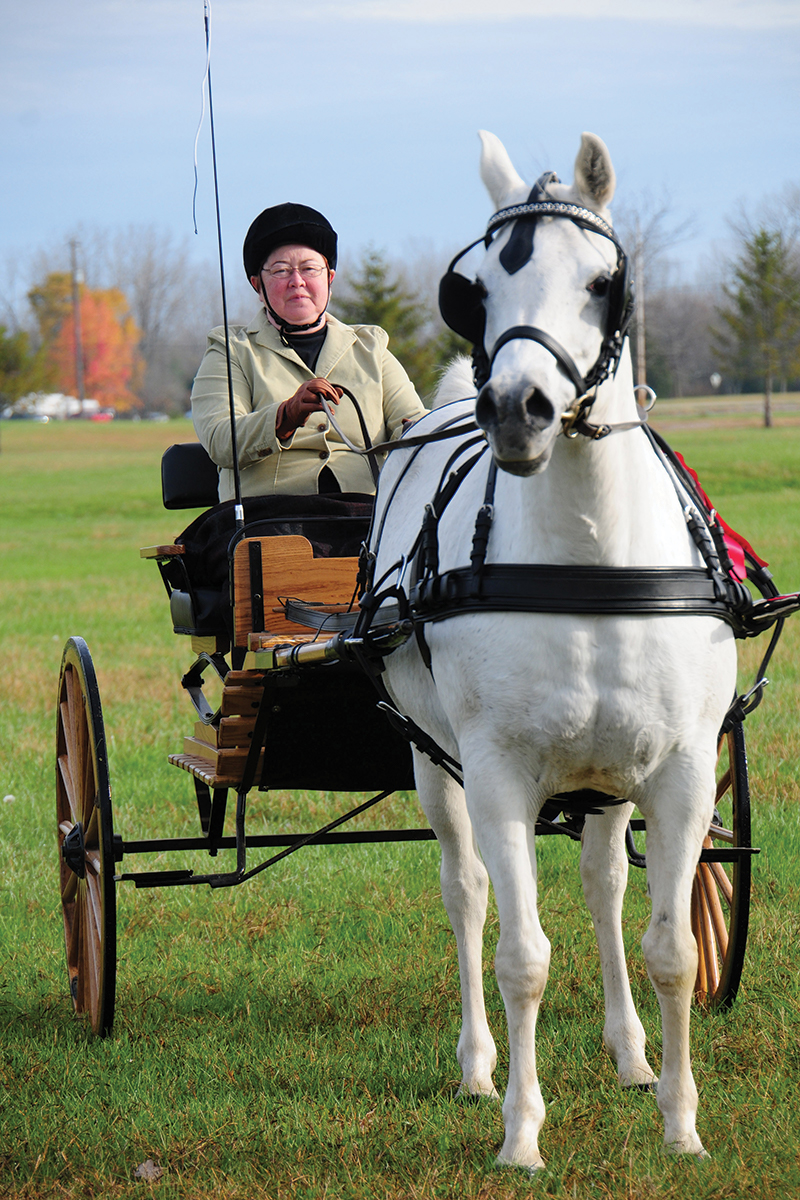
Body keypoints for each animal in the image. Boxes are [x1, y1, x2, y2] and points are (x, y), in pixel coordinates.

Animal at [369, 133, 738, 1171]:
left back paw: (631, 1054)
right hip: (433, 761)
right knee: (467, 895)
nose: (517, 408)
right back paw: (477, 1066)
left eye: (604, 281)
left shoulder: (681, 771)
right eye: (476, 289)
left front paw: (682, 1125)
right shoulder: (496, 773)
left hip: (610, 779)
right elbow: (521, 955)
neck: (589, 560)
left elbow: (672, 949)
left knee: (606, 888)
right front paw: (522, 1132)